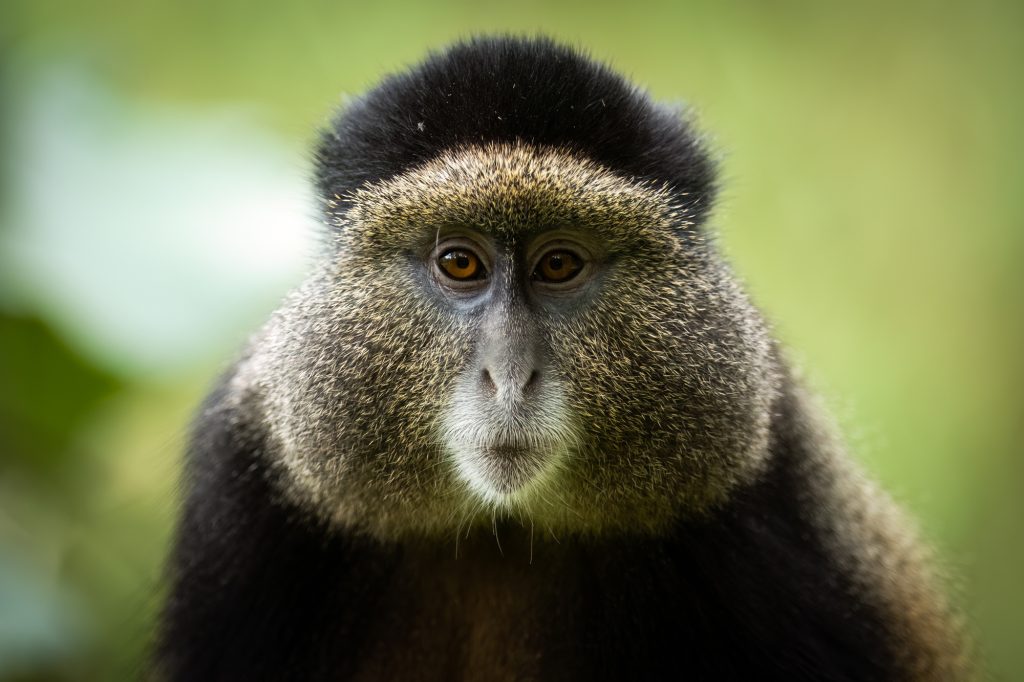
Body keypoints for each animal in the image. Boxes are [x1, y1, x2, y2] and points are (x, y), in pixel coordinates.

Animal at [152, 36, 970, 681]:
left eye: (558, 266)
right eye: (459, 263)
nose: (510, 377)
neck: (505, 532)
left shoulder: (781, 490)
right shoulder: (247, 479)